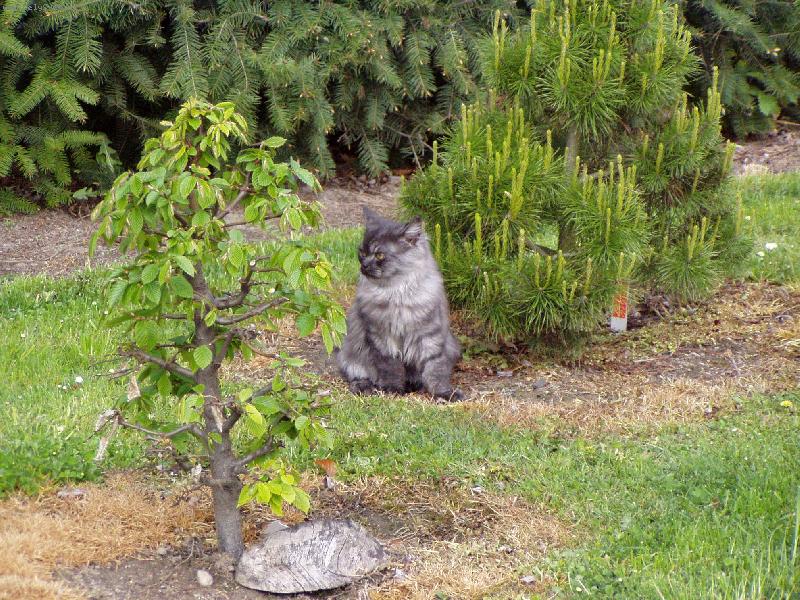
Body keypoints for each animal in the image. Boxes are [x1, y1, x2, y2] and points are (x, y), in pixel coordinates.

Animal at [336, 208, 463, 401]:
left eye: (379, 255)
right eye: (362, 253)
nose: (364, 265)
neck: (397, 294)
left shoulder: (430, 335)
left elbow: (435, 369)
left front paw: (443, 393)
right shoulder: (381, 337)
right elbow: (390, 368)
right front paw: (392, 389)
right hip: (351, 356)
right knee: (359, 375)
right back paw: (365, 387)